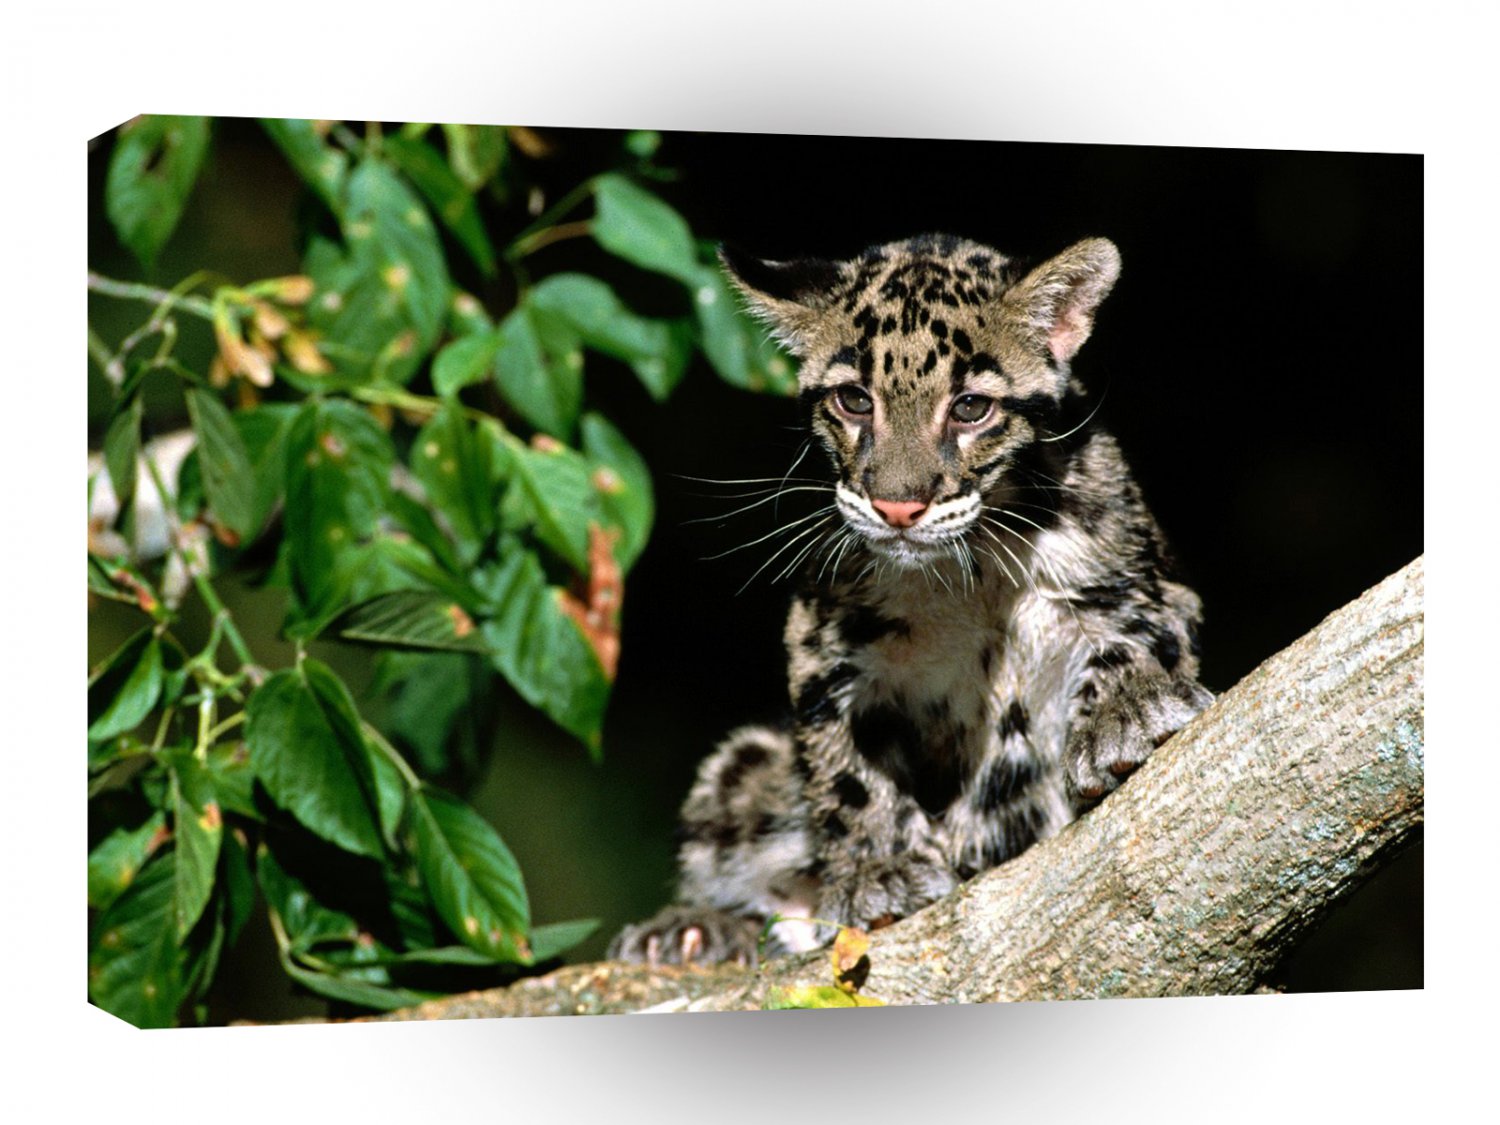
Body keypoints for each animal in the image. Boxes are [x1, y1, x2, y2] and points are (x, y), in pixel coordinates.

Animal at [608, 232, 1213, 966]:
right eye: (853, 400)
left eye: (971, 407)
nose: (897, 507)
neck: (968, 573)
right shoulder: (825, 646)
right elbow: (845, 767)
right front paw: (881, 868)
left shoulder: (1145, 580)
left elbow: (1137, 634)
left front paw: (1129, 709)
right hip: (745, 765)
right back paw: (694, 929)